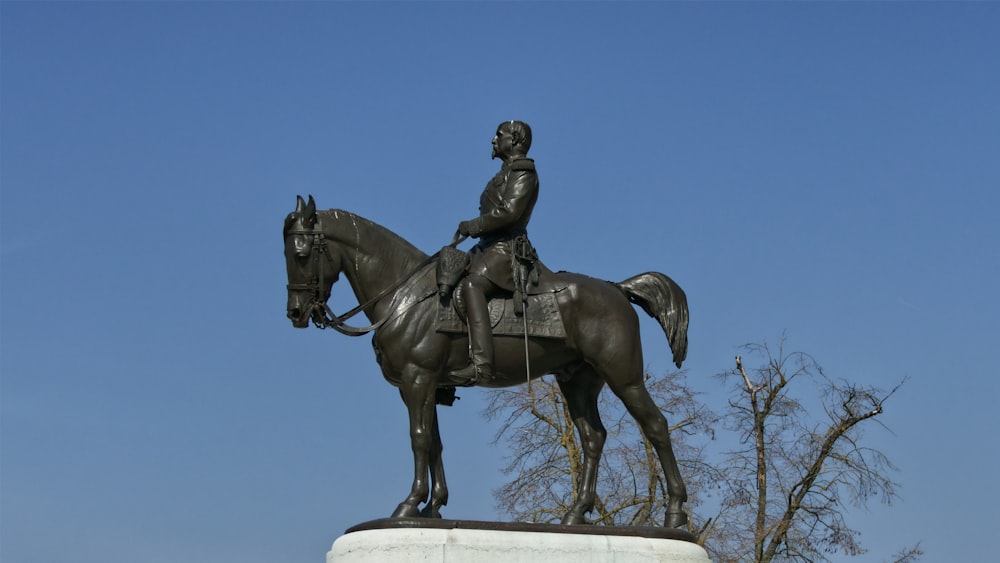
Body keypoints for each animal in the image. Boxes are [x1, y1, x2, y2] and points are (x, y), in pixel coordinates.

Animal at [282, 195, 688, 528]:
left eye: (301, 254)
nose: (296, 313)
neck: (405, 296)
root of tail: (618, 289)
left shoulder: (417, 379)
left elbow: (418, 438)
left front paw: (410, 504)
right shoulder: (429, 385)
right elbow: (434, 442)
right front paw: (434, 506)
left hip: (624, 378)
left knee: (656, 426)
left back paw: (675, 513)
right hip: (578, 381)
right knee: (593, 438)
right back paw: (576, 513)